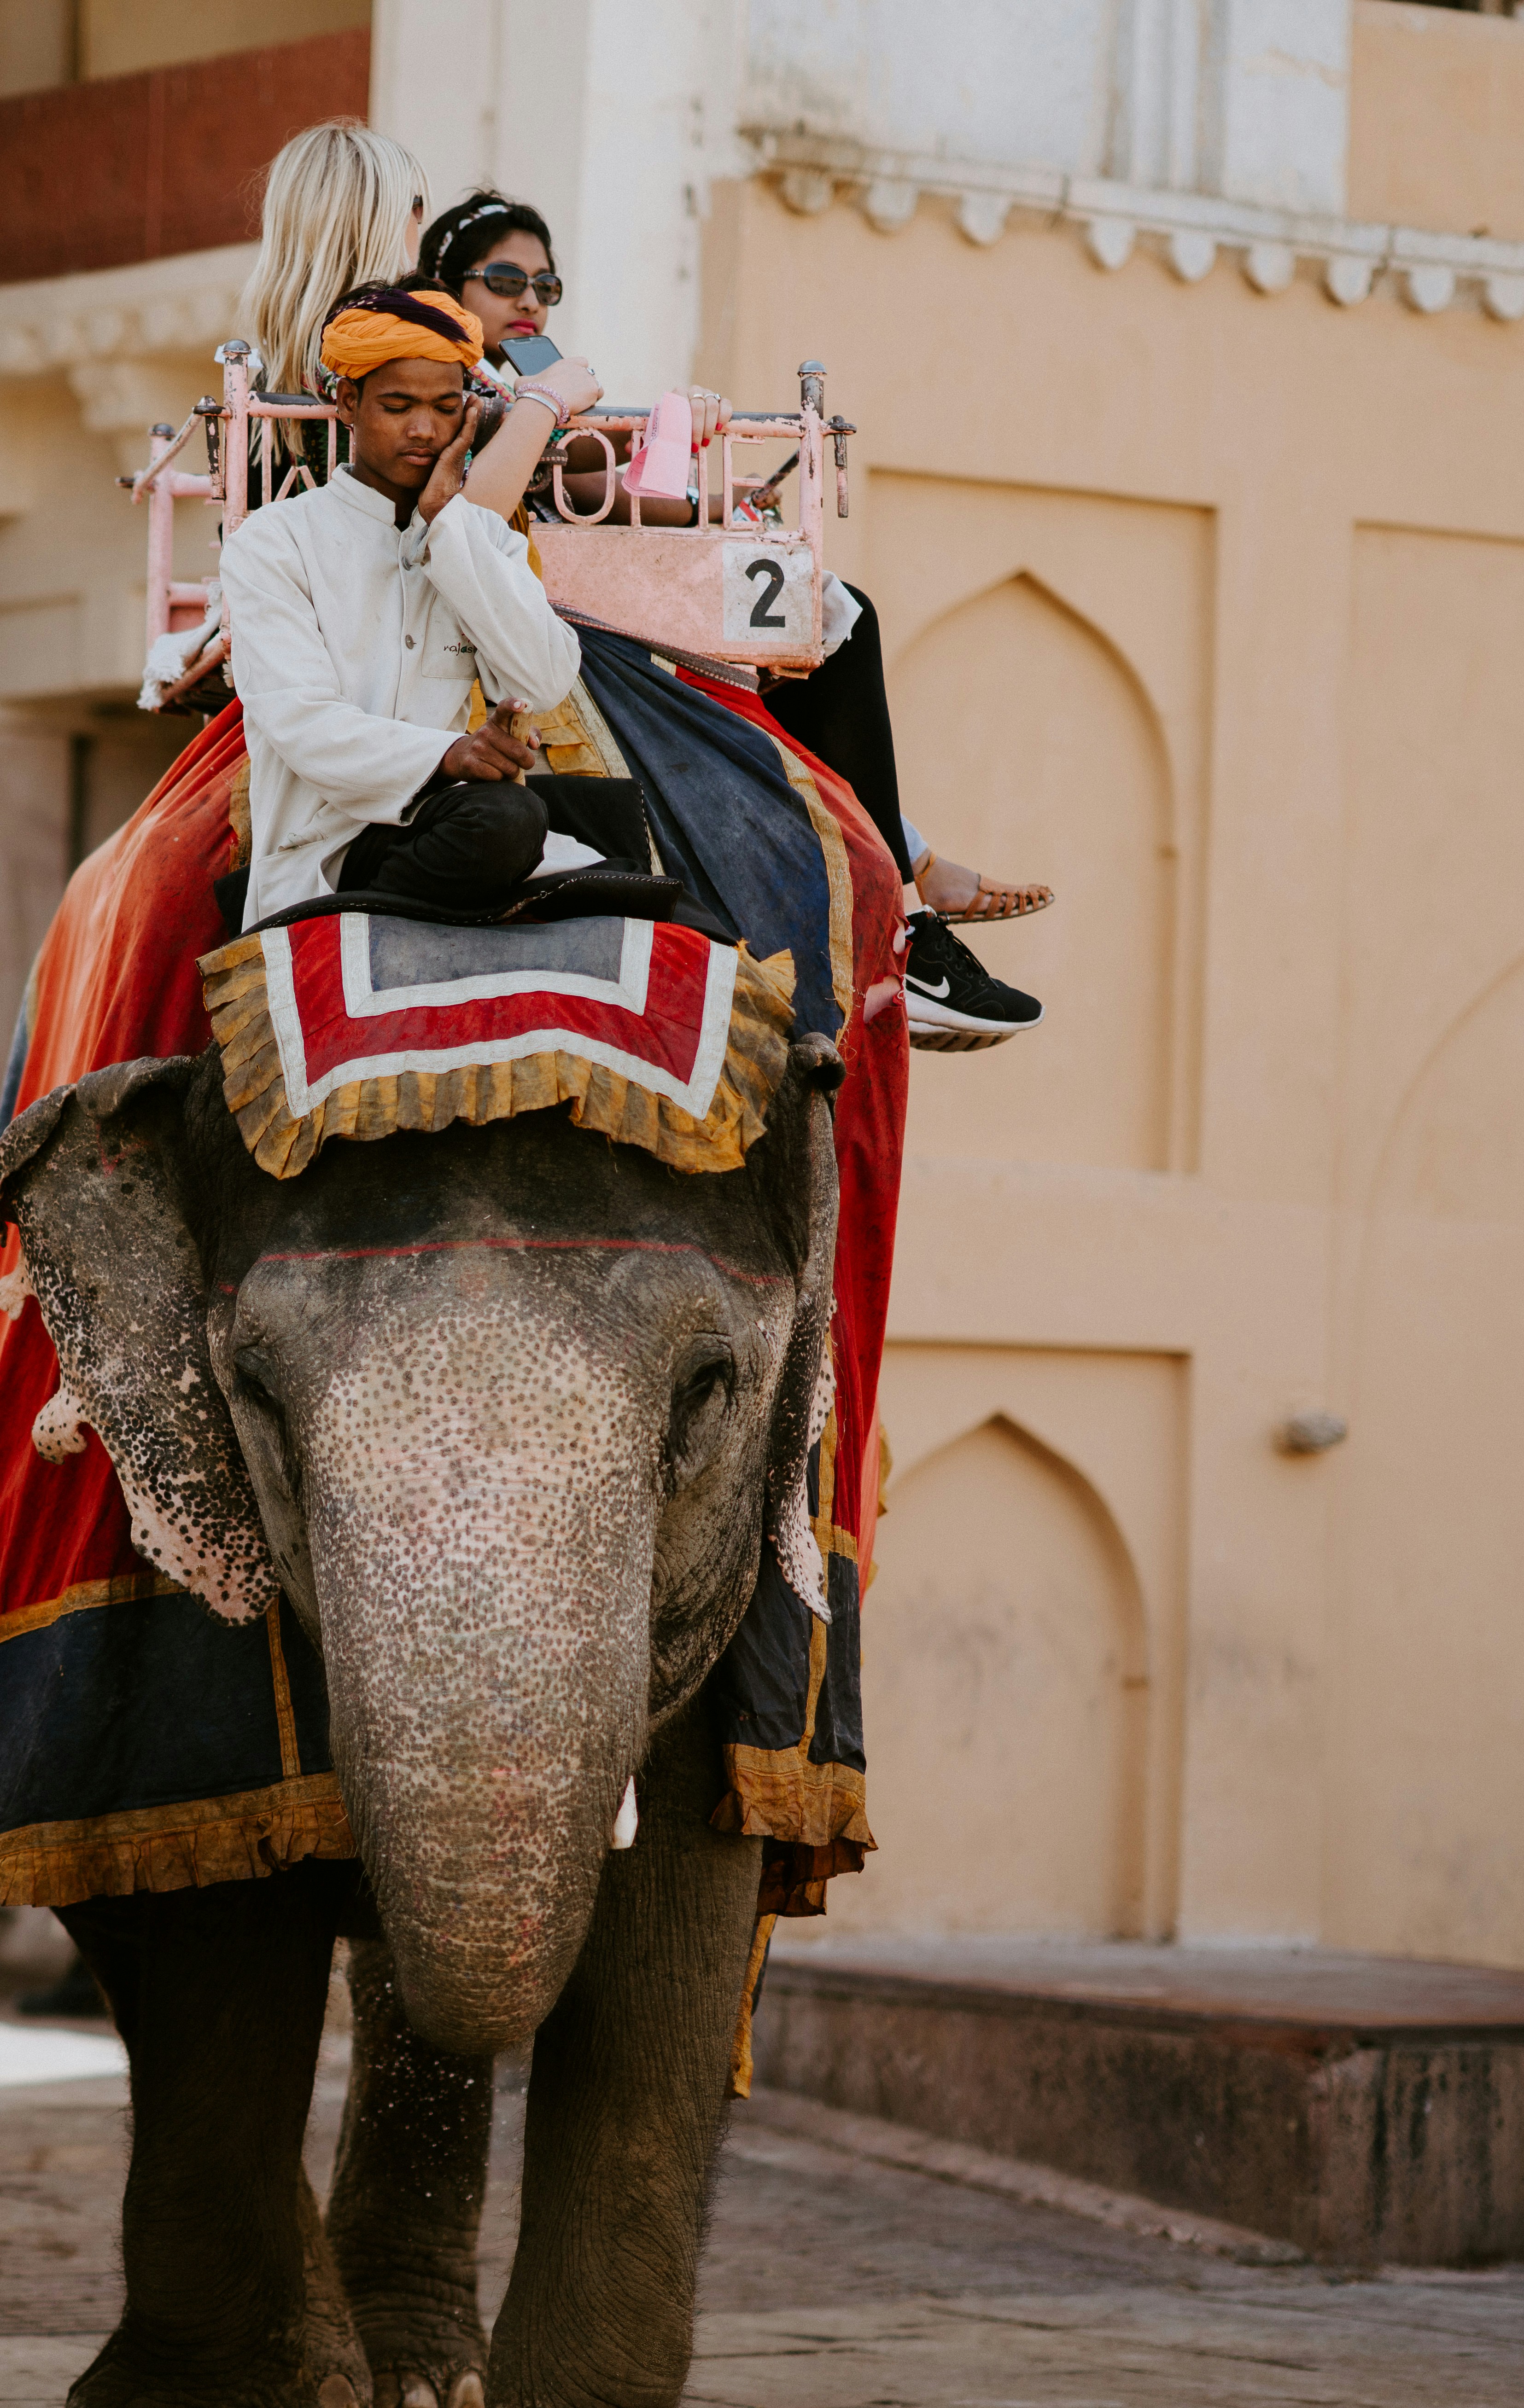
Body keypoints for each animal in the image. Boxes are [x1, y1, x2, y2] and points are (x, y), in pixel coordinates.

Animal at [0, 1023, 841, 2408]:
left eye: (707, 1387)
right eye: (254, 1390)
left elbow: (681, 1899)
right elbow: (209, 1903)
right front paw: (240, 2390)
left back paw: (414, 2374)